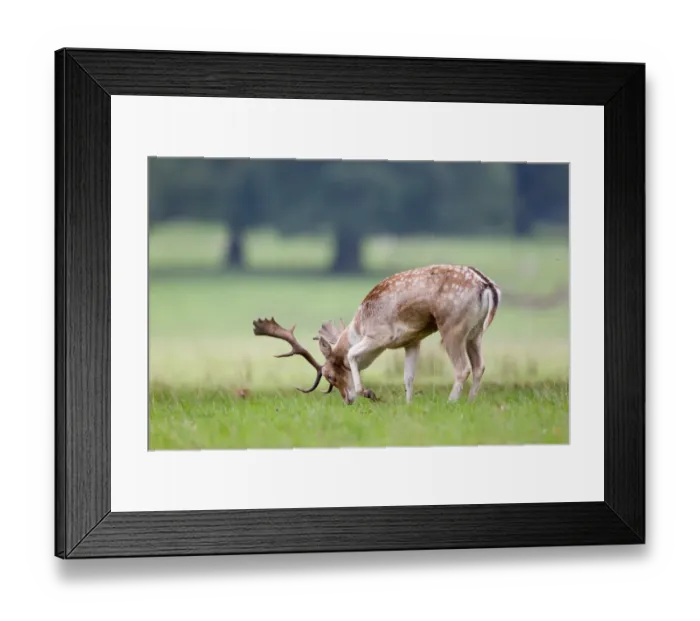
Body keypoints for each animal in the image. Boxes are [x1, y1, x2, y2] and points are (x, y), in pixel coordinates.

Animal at [253, 264, 500, 405]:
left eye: (330, 376)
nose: (347, 400)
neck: (359, 326)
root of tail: (487, 285)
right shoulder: (413, 340)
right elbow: (408, 377)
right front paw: (408, 405)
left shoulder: (381, 336)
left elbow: (351, 354)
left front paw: (368, 392)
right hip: (475, 333)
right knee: (479, 366)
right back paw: (470, 403)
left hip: (452, 327)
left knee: (462, 368)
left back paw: (451, 403)